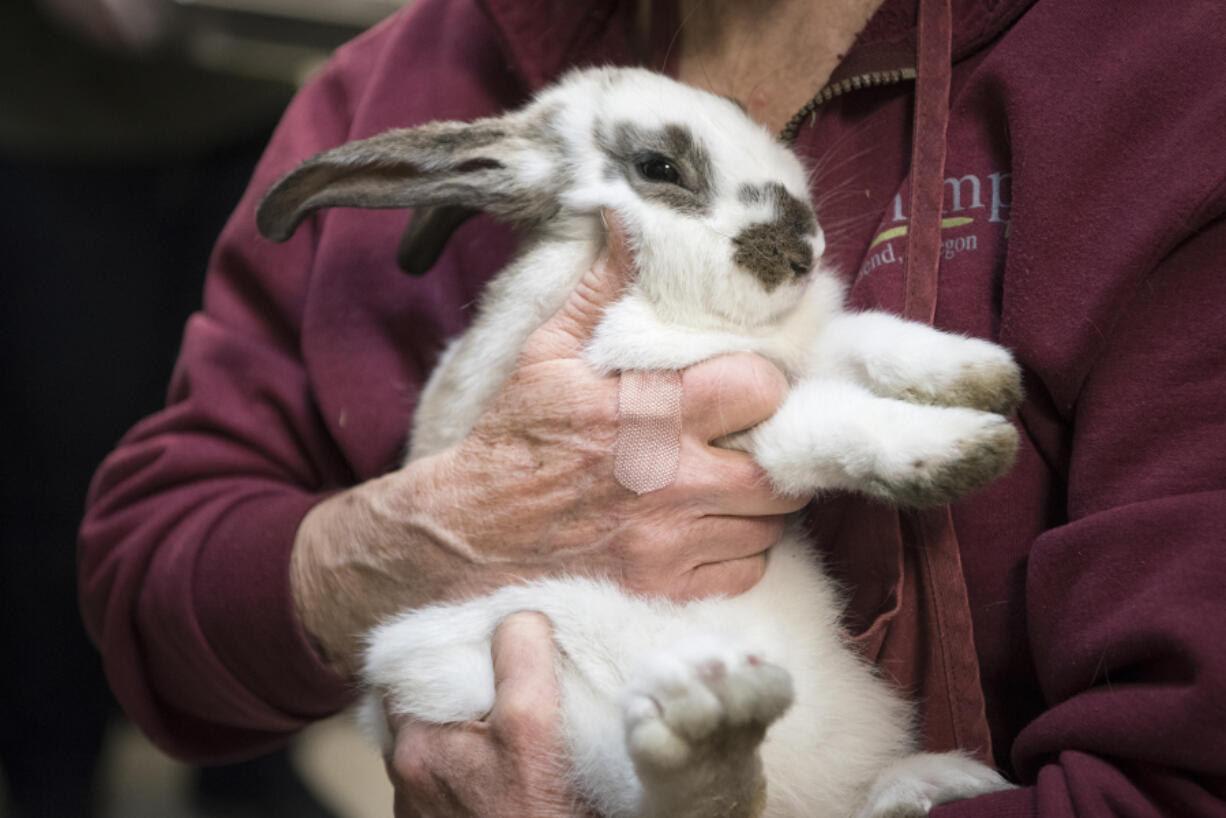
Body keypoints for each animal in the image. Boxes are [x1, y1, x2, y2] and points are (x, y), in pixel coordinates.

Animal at [256, 68, 1015, 818]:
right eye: (659, 168)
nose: (805, 254)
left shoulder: (794, 355)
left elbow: (872, 340)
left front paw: (989, 376)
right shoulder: (707, 410)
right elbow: (825, 419)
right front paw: (963, 450)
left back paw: (926, 783)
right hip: (540, 692)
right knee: (665, 794)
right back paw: (715, 744)